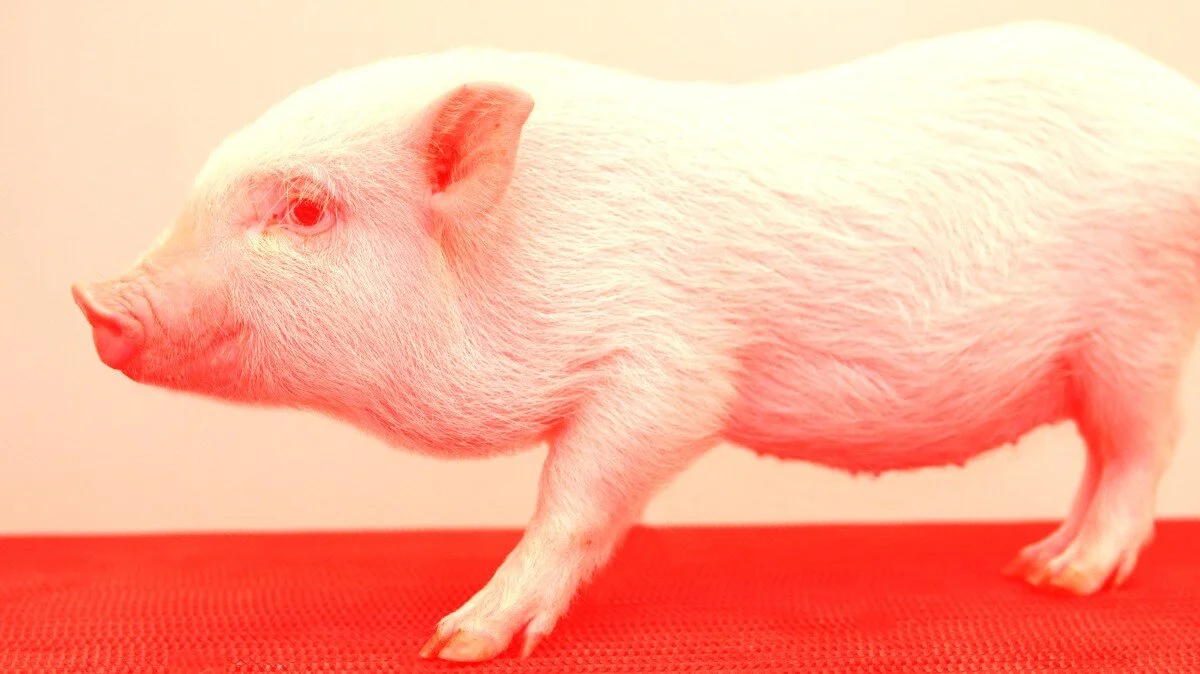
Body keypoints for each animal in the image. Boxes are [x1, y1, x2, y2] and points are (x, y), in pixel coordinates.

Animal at [72, 20, 1200, 662]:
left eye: (306, 210)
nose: (92, 296)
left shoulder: (668, 368)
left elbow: (577, 495)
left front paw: (458, 640)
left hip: (1137, 333)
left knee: (1138, 455)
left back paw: (1067, 578)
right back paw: (1030, 564)